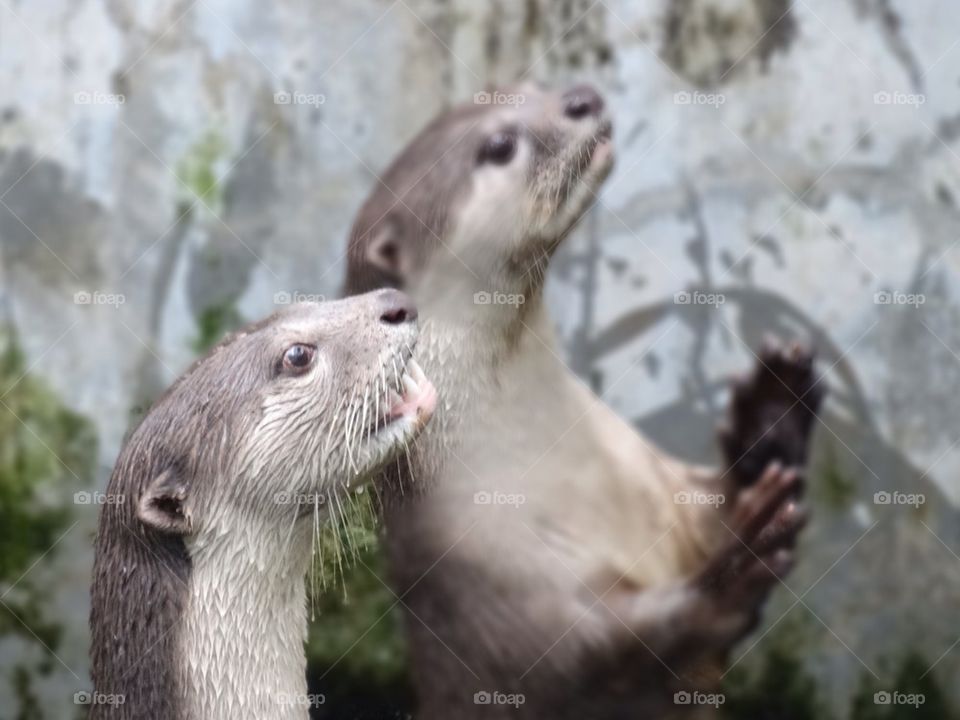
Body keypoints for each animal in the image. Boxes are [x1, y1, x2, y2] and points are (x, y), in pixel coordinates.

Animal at [344, 81, 824, 716]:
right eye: (499, 145)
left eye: (525, 87)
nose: (582, 95)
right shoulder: (497, 583)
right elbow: (598, 655)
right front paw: (735, 572)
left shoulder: (663, 492)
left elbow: (717, 507)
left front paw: (771, 413)